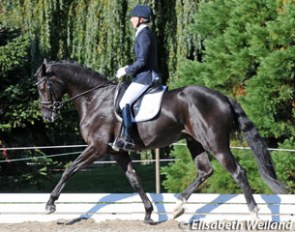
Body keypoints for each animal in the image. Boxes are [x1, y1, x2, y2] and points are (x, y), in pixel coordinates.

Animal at [34, 60, 286, 224]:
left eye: (44, 87)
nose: (47, 116)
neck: (94, 99)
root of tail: (223, 97)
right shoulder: (117, 152)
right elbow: (134, 180)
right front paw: (148, 213)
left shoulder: (98, 148)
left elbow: (70, 169)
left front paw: (49, 205)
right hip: (195, 142)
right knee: (205, 171)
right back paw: (177, 208)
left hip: (215, 144)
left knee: (238, 172)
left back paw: (254, 213)